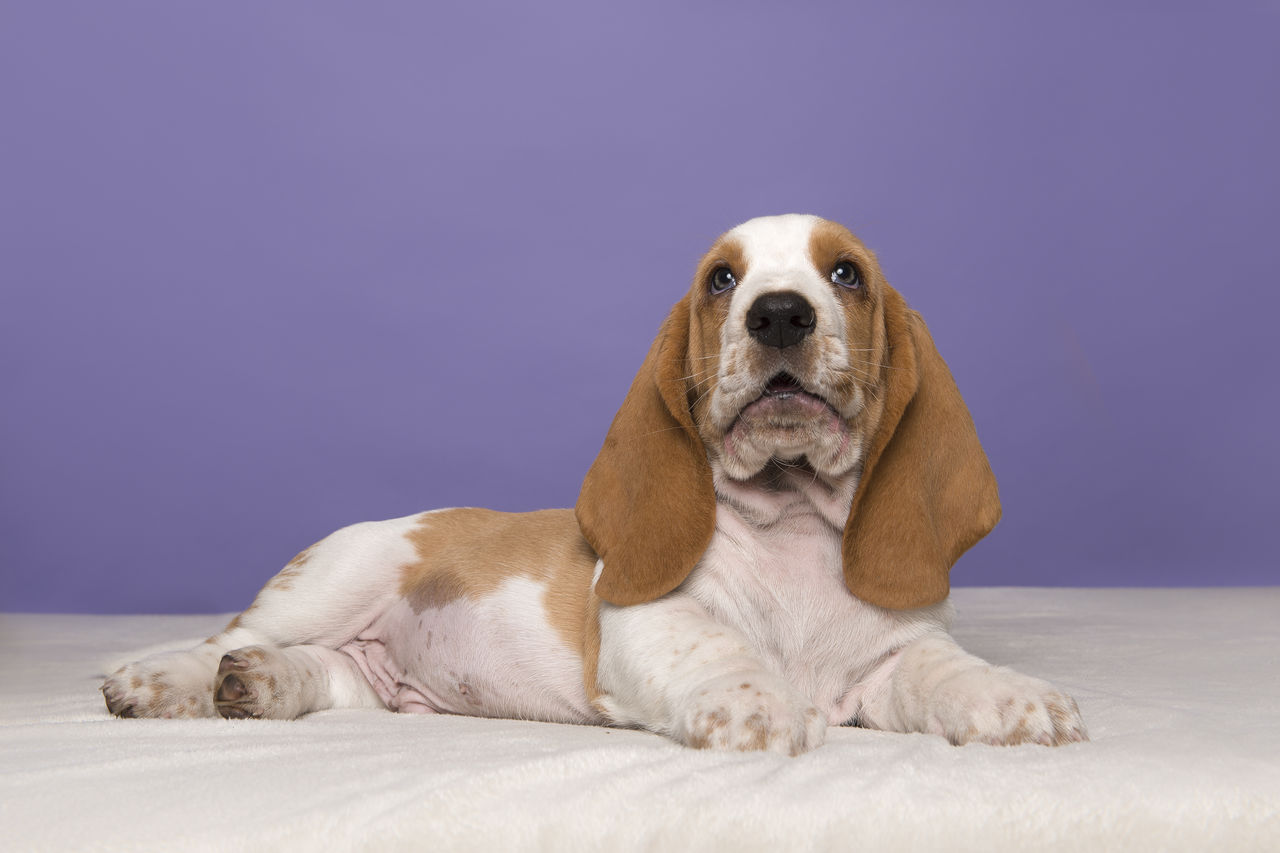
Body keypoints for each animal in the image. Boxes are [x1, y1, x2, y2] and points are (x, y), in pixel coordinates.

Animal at [104, 216, 1090, 753]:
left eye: (845, 273)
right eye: (721, 280)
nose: (778, 314)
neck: (795, 523)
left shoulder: (895, 659)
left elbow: (943, 672)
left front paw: (1016, 698)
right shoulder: (650, 622)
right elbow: (723, 652)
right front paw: (759, 706)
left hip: (367, 676)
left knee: (320, 671)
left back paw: (260, 685)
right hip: (344, 575)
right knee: (226, 635)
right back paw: (159, 678)